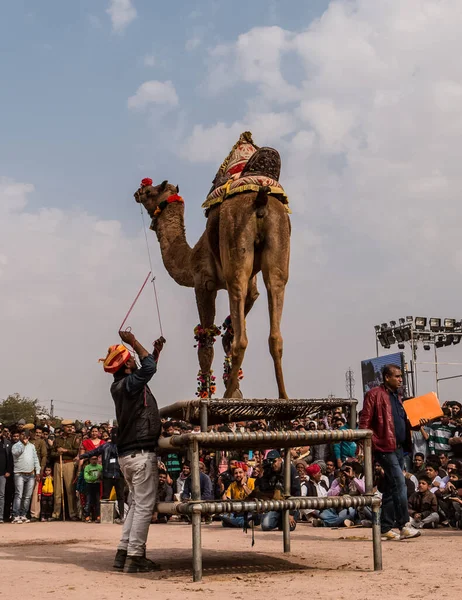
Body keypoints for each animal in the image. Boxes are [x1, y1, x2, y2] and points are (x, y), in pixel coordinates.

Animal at [134, 131, 290, 398]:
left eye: (151, 191)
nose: (137, 191)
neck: (189, 256)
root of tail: (260, 197)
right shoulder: (252, 289)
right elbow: (230, 329)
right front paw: (236, 390)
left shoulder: (203, 283)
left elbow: (206, 342)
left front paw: (211, 394)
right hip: (279, 238)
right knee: (275, 326)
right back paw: (284, 397)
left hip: (235, 238)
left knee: (241, 337)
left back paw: (226, 398)